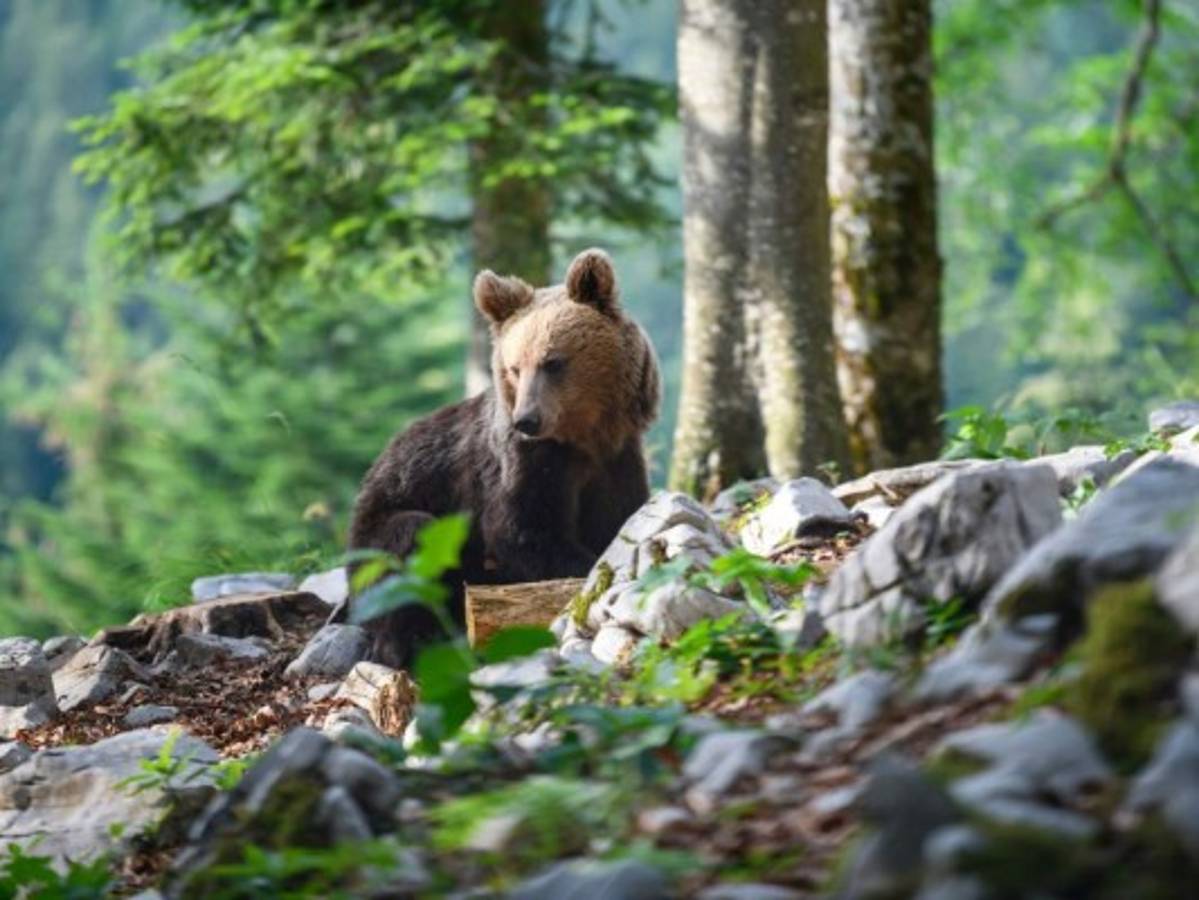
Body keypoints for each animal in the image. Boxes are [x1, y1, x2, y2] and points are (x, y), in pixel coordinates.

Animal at [347, 248, 660, 668]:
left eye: (553, 362)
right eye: (515, 367)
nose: (527, 419)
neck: (583, 437)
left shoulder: (616, 458)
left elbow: (619, 518)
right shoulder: (524, 464)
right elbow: (522, 531)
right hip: (379, 530)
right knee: (408, 543)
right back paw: (409, 645)